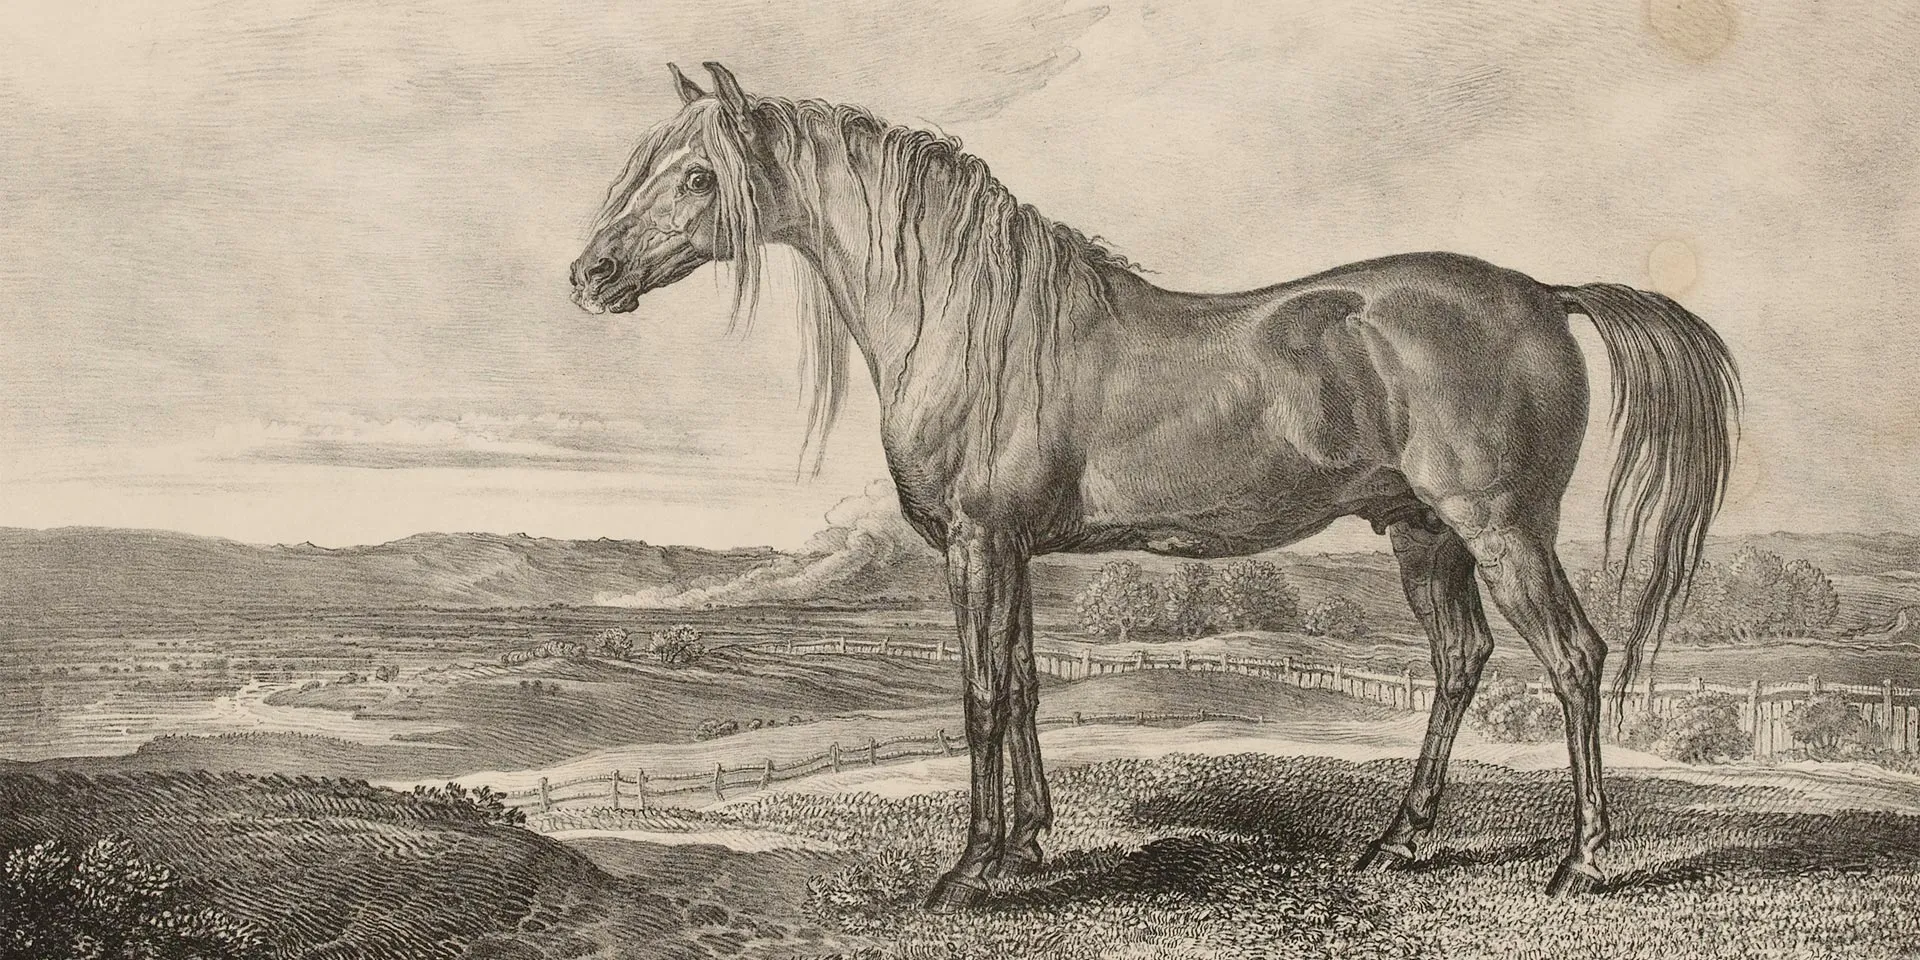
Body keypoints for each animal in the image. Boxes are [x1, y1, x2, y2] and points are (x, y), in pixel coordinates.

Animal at [569, 62, 1740, 911]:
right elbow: (1026, 687)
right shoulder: (1014, 552)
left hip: (1502, 532)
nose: (589, 276)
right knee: (1461, 663)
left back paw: (1581, 861)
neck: (969, 316)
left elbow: (980, 697)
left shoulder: (977, 544)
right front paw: (1030, 846)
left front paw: (970, 870)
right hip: (1423, 535)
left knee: (1576, 663)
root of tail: (1545, 292)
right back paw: (1399, 841)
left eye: (697, 177)